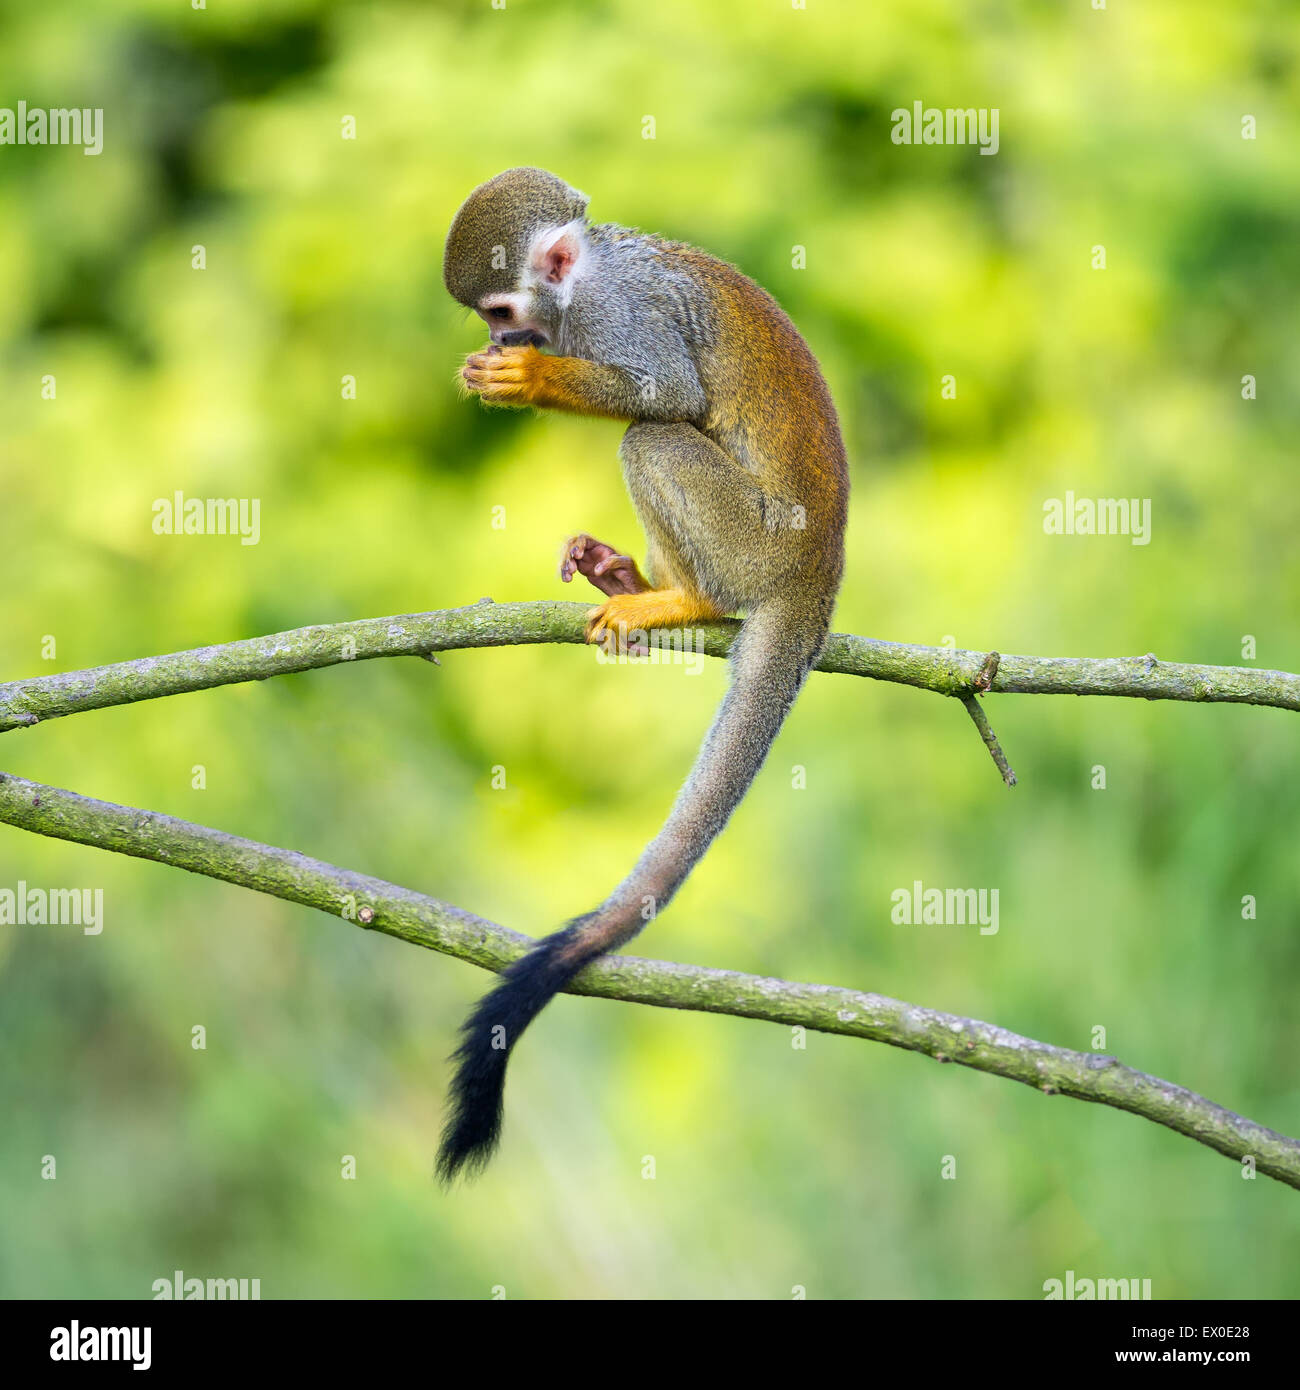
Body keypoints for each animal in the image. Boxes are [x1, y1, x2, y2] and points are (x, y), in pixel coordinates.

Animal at [439, 168, 845, 1178]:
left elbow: (667, 390)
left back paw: (687, 599)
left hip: (752, 540)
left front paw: (532, 382)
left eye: (501, 310)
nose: (501, 343)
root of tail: (819, 570)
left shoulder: (620, 313)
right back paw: (636, 581)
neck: (582, 282)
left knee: (648, 435)